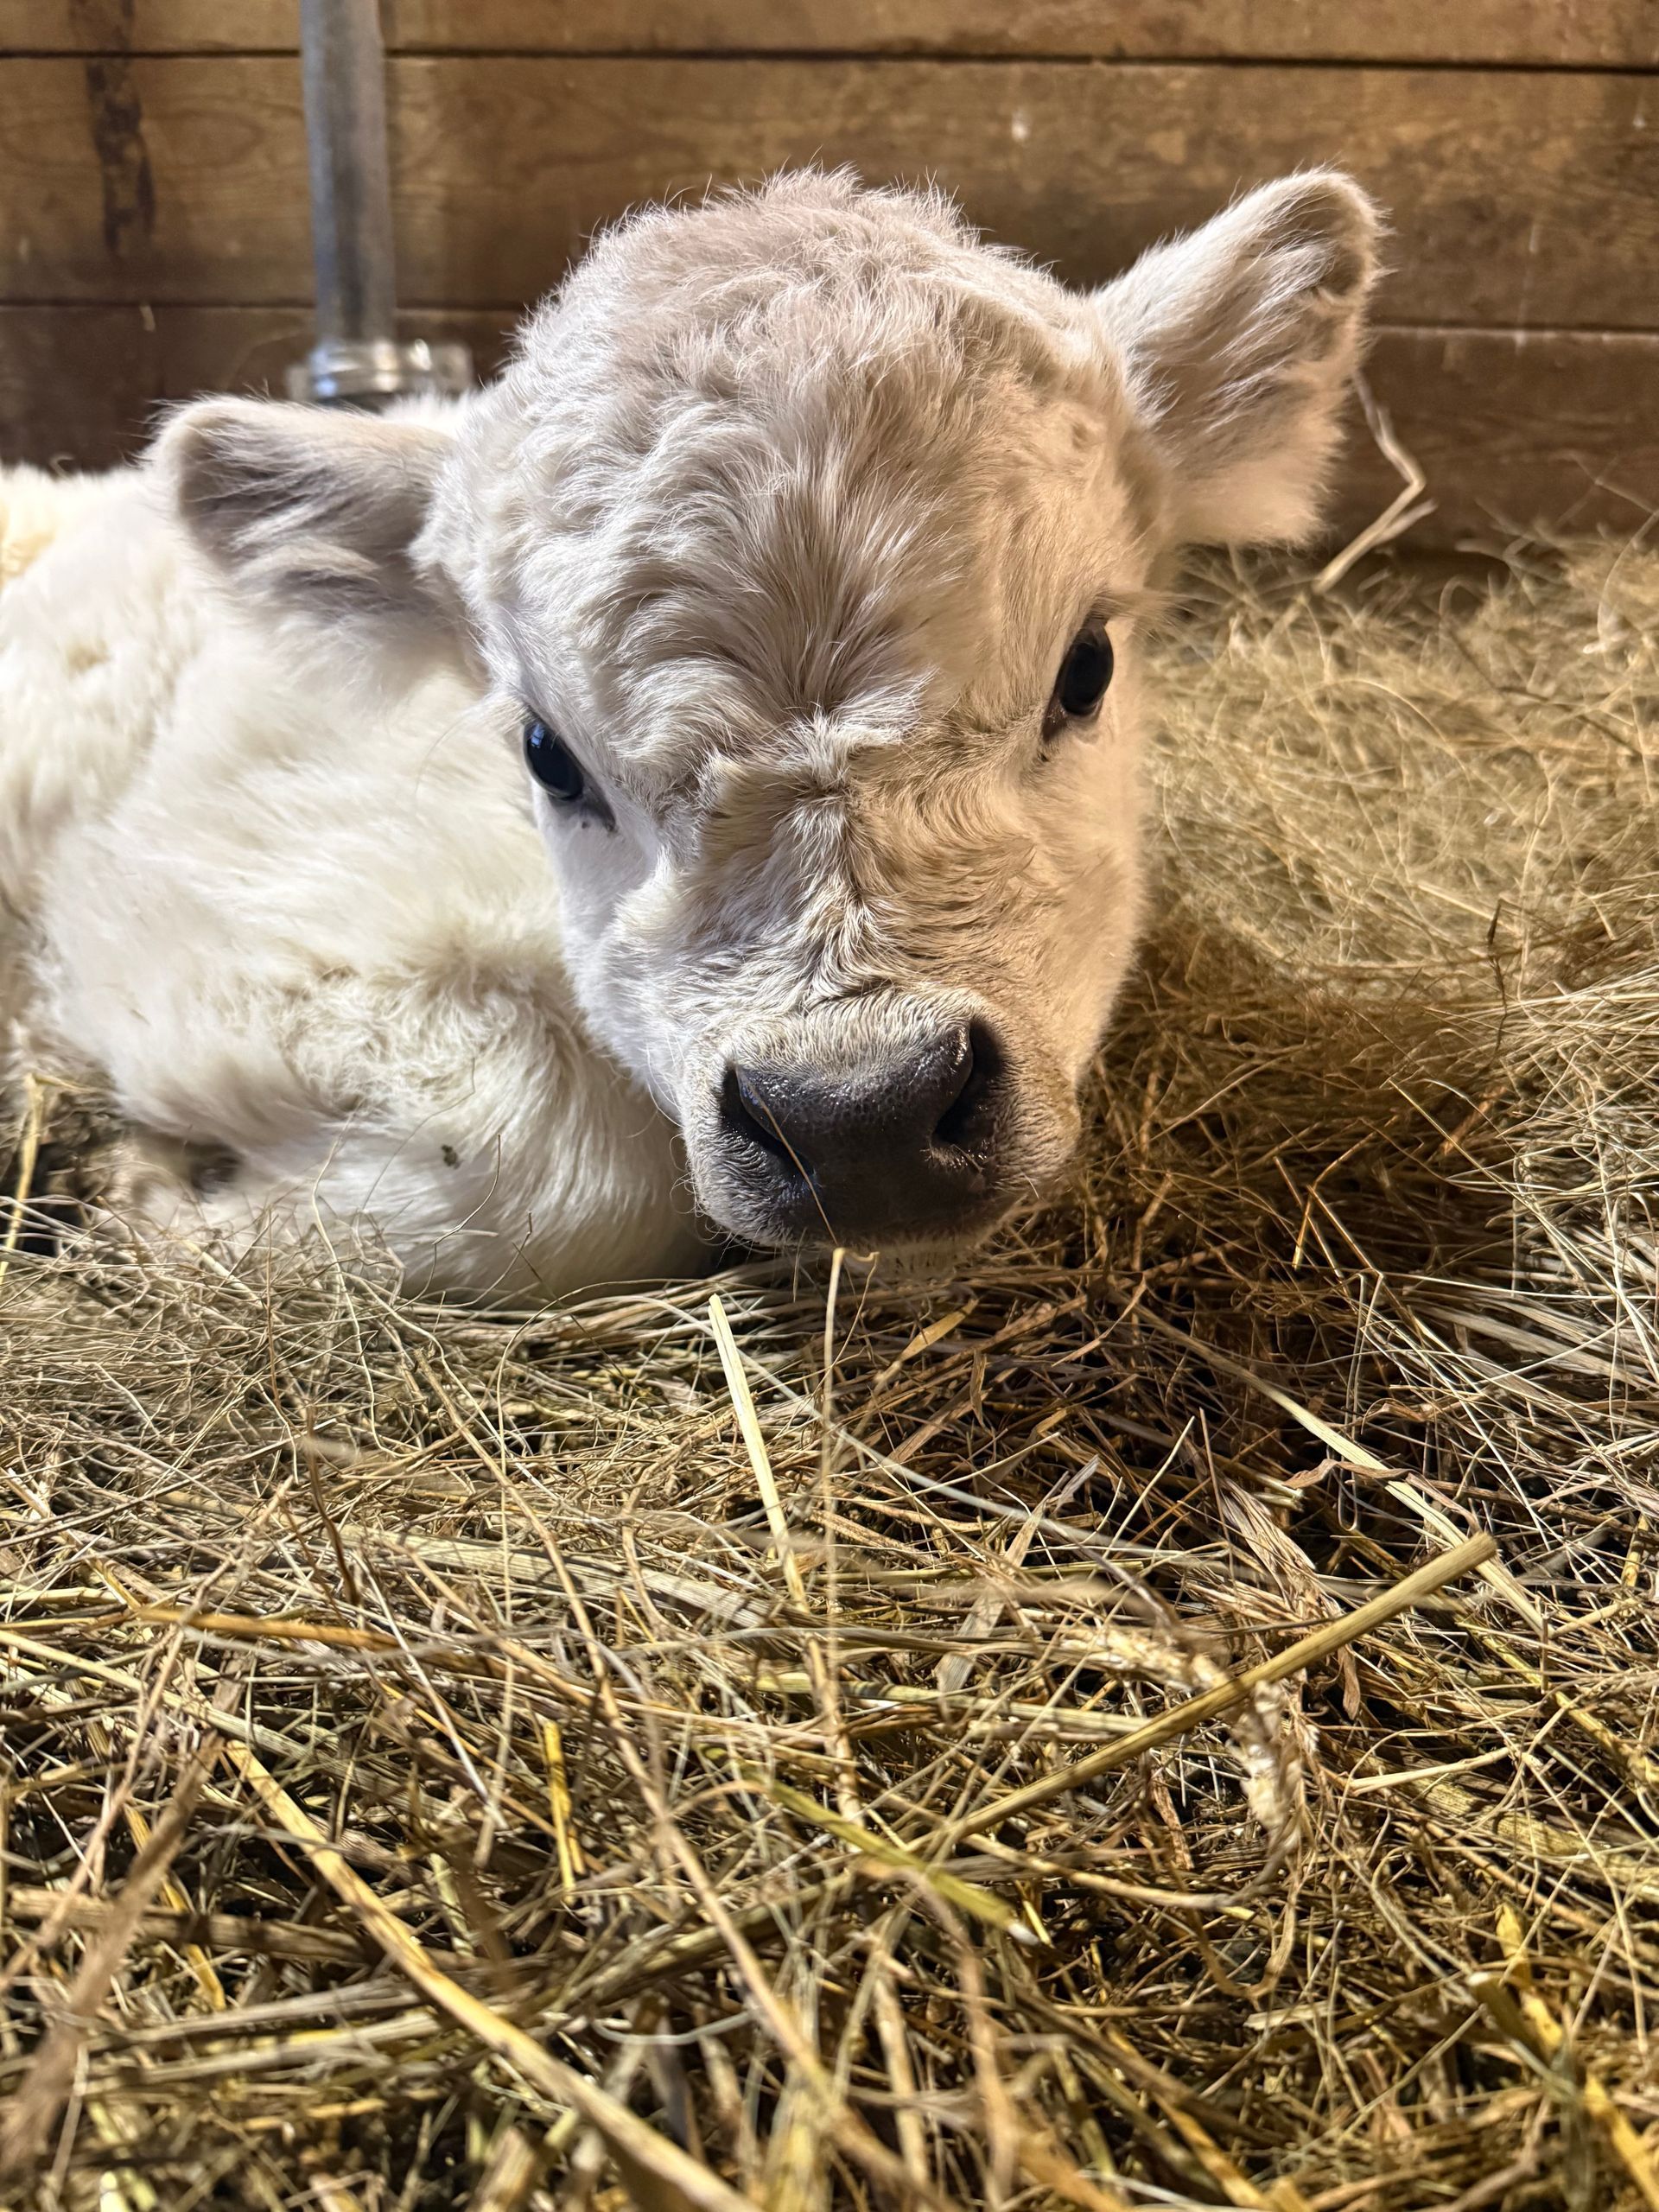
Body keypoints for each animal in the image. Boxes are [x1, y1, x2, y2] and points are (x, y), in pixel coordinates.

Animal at [0, 169, 1379, 1300]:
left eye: (1085, 667)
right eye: (545, 751)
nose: (860, 1118)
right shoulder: (228, 951)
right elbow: (570, 1177)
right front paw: (154, 1196)